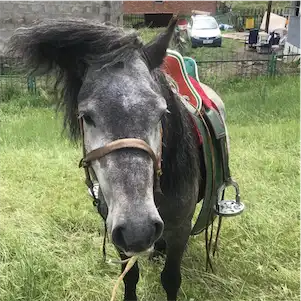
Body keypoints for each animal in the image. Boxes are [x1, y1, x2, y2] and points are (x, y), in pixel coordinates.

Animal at [7, 17, 209, 298]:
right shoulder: (118, 231)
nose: (139, 229)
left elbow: (170, 279)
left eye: (161, 113)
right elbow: (130, 277)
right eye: (86, 117)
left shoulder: (181, 228)